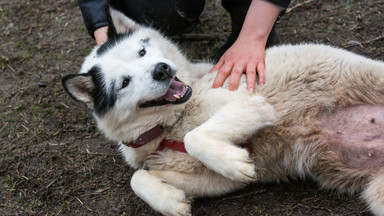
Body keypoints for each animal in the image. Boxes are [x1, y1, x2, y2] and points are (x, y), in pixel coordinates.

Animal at [61, 5, 384, 216]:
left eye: (142, 51)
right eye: (124, 83)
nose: (161, 70)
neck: (171, 125)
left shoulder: (250, 102)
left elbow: (195, 137)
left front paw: (232, 160)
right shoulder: (217, 182)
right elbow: (137, 179)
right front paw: (170, 201)